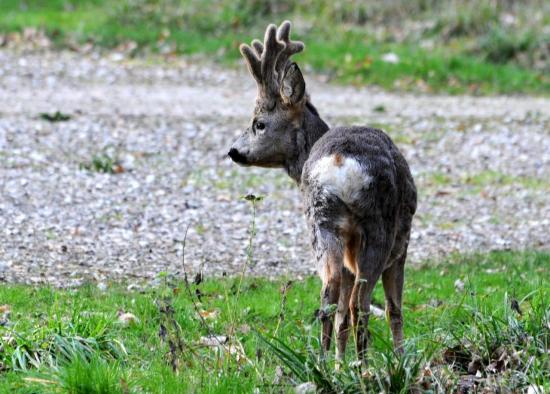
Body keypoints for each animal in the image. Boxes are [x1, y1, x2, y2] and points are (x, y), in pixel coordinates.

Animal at [230, 21, 418, 366]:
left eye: (258, 123)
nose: (233, 151)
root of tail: (339, 160)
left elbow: (342, 311)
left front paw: (339, 361)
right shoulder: (402, 246)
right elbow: (394, 309)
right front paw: (400, 359)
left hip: (320, 224)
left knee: (330, 296)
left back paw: (324, 362)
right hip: (379, 229)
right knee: (360, 302)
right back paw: (363, 365)